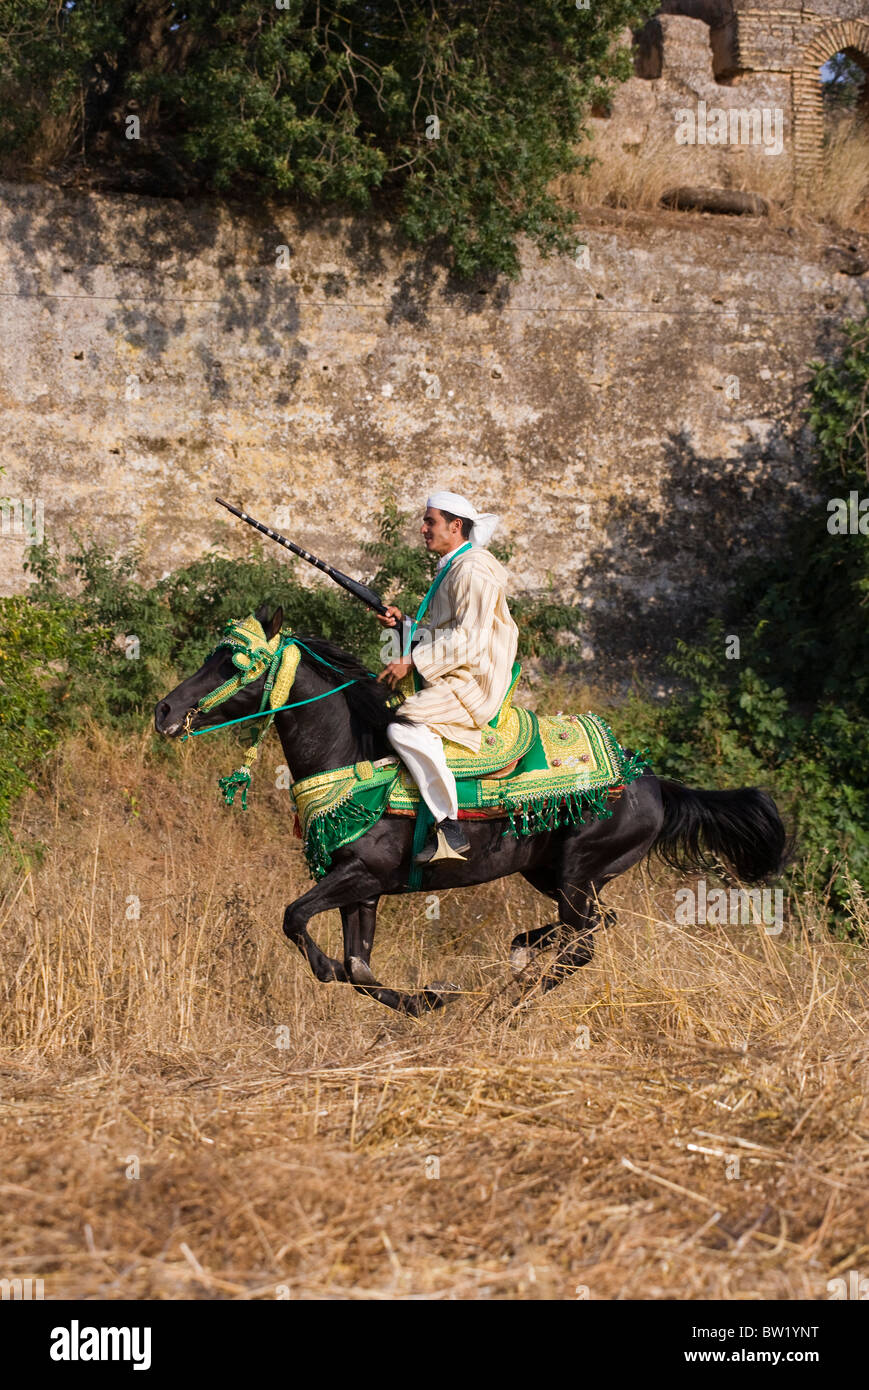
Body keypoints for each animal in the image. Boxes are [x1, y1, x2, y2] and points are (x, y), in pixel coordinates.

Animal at [152, 603, 789, 1017]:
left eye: (233, 664)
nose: (165, 711)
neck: (353, 754)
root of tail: (654, 783)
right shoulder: (363, 891)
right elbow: (359, 972)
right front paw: (429, 1000)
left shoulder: (362, 875)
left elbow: (295, 920)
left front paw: (344, 973)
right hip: (556, 874)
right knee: (590, 929)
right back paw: (519, 958)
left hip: (579, 871)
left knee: (583, 941)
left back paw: (510, 1002)